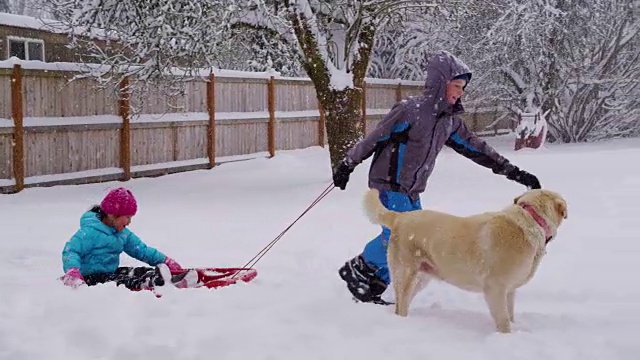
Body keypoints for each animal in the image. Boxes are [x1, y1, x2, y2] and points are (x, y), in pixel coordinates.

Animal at [362, 187, 568, 334]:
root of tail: (400, 216)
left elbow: (510, 315)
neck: (532, 221)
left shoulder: (510, 291)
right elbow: (503, 321)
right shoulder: (495, 289)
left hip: (420, 279)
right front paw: (506, 338)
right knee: (401, 306)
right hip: (406, 275)